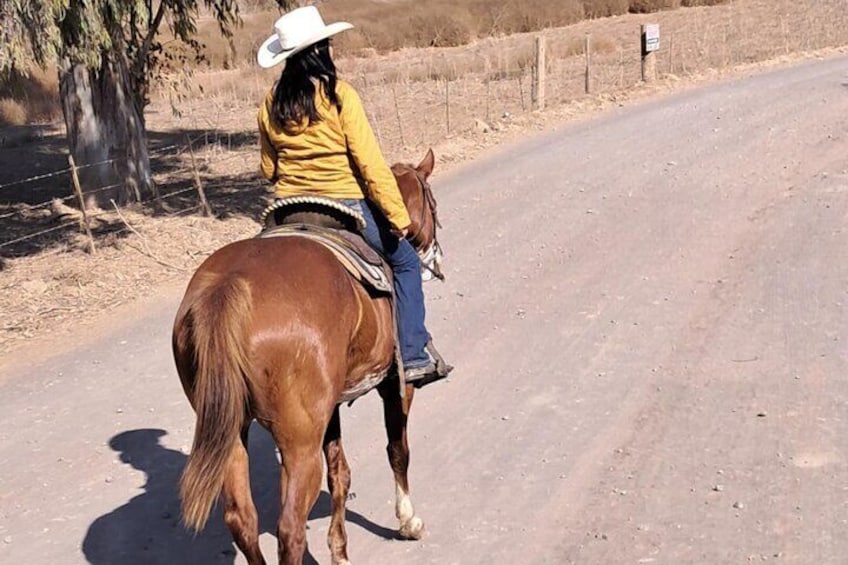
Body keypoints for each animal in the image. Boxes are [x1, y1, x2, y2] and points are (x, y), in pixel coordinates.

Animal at [172, 150, 444, 564]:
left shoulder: (327, 407)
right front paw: (408, 522)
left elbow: (340, 473)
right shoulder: (394, 384)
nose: (437, 257)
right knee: (289, 528)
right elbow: (398, 449)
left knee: (242, 519)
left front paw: (340, 552)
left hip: (232, 428)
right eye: (433, 205)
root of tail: (228, 286)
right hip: (298, 440)